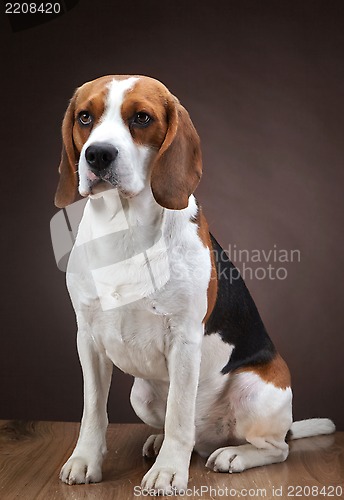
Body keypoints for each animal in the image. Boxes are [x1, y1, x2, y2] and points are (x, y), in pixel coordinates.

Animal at [55, 76, 334, 494]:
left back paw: (234, 455)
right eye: (85, 117)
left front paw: (170, 471)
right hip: (141, 393)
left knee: (274, 448)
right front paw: (85, 460)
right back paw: (160, 442)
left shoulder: (184, 340)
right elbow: (93, 412)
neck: (125, 227)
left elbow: (178, 415)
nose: (98, 155)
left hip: (258, 390)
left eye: (142, 118)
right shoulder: (86, 338)